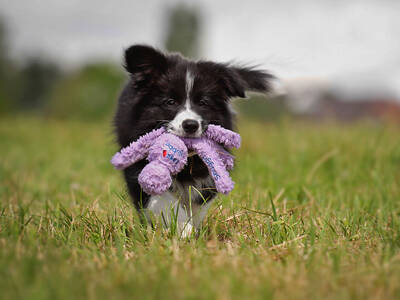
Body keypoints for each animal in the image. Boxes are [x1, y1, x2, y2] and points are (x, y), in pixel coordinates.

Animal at [114, 45, 274, 237]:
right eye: (170, 102)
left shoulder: (209, 172)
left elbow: (200, 201)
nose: (190, 125)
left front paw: (191, 227)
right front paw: (183, 228)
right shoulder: (136, 161)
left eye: (203, 102)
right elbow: (161, 198)